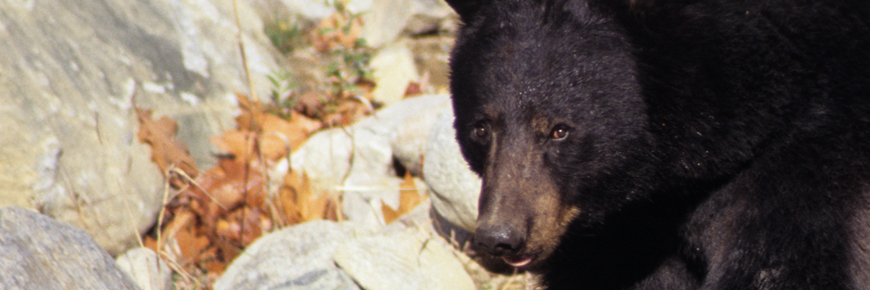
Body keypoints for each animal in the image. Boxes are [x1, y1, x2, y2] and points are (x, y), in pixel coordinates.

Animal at [446, 0, 870, 288]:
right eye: (481, 128)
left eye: (559, 130)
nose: (500, 238)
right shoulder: (627, 222)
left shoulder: (811, 155)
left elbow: (779, 267)